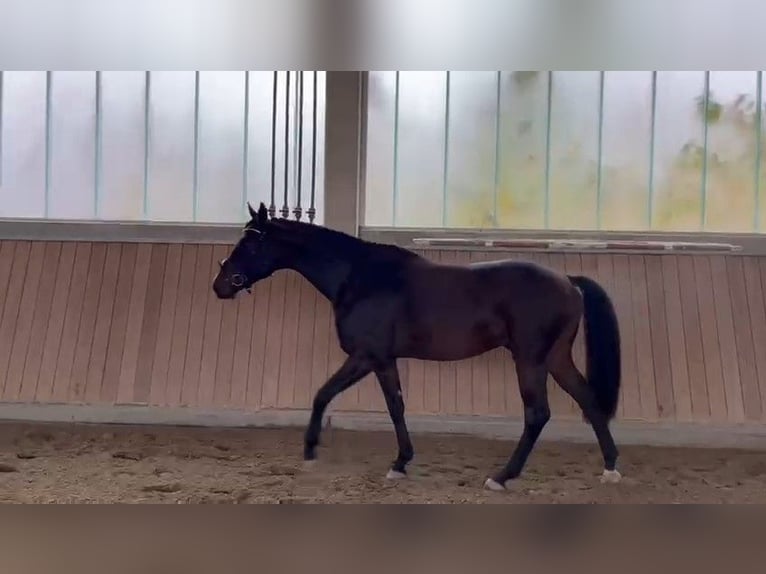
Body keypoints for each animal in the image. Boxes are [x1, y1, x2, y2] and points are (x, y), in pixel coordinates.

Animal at [212, 202, 624, 490]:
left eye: (251, 242)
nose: (221, 284)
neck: (359, 277)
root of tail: (567, 281)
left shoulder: (368, 357)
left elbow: (328, 395)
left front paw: (313, 451)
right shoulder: (384, 359)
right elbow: (393, 406)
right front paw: (400, 463)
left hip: (530, 360)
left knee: (537, 414)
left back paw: (501, 477)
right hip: (555, 358)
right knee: (589, 400)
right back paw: (610, 468)